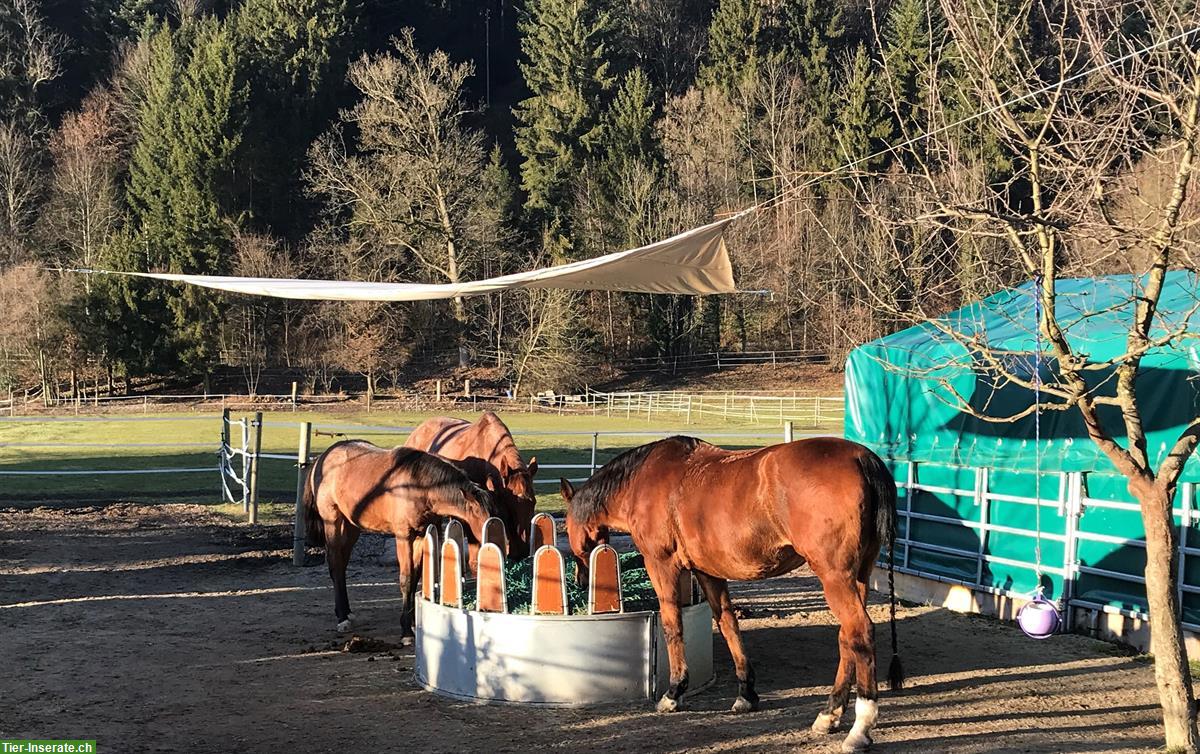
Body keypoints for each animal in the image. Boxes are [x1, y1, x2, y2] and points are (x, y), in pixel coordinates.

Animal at [304, 441, 506, 643]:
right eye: (484, 519)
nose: (500, 548)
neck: (419, 486)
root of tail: (323, 458)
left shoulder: (421, 536)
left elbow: (415, 577)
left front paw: (414, 622)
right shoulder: (404, 536)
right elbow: (406, 579)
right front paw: (406, 631)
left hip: (352, 526)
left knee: (342, 565)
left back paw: (347, 612)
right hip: (333, 521)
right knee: (336, 565)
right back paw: (342, 618)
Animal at [559, 437, 902, 754]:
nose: (580, 579)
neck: (644, 479)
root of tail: (862, 458)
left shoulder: (661, 565)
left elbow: (672, 625)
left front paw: (674, 692)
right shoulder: (708, 572)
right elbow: (727, 624)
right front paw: (746, 694)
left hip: (835, 577)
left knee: (860, 632)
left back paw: (860, 728)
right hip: (857, 576)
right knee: (847, 638)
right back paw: (829, 714)